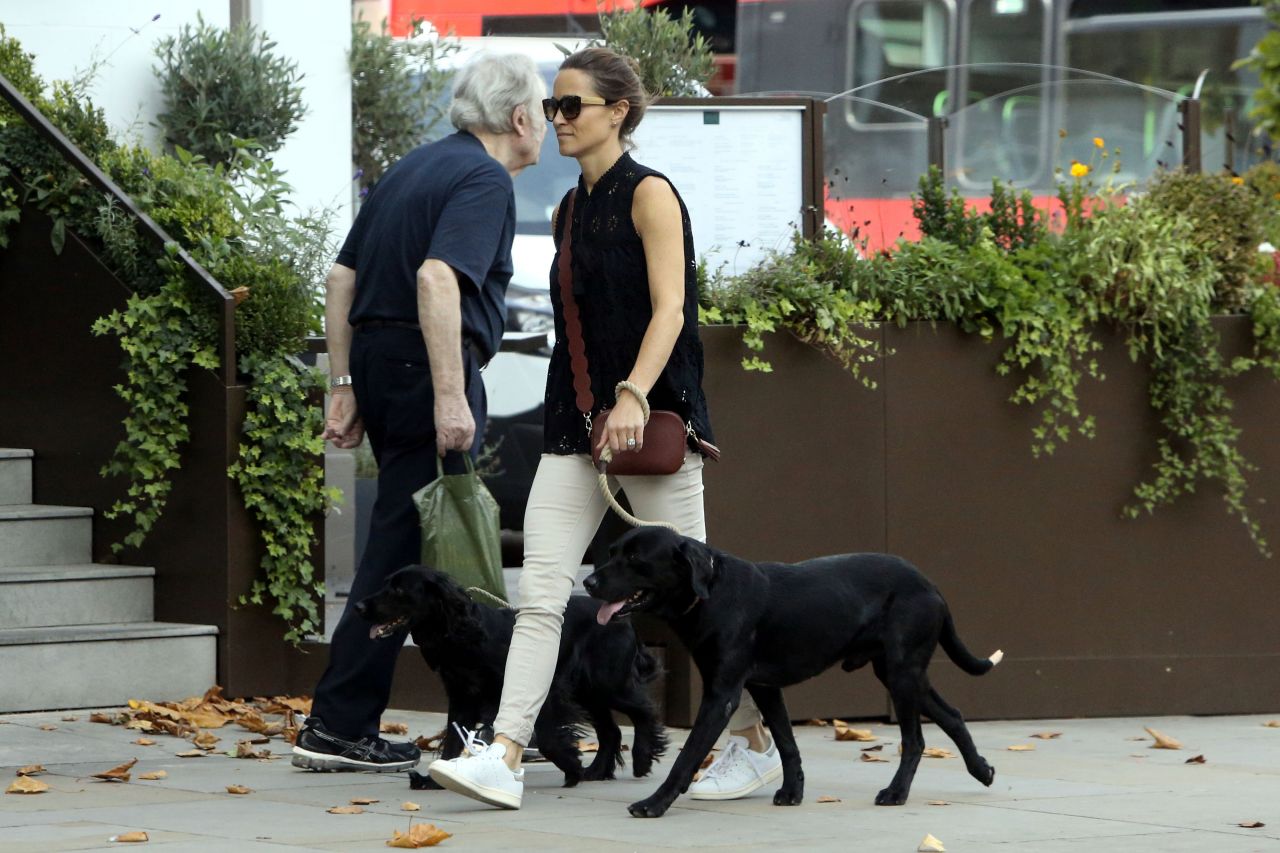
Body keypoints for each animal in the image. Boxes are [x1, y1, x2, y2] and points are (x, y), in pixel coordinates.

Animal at [355, 563, 665, 783]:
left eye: (399, 590)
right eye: (386, 584)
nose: (358, 606)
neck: (465, 636)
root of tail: (622, 618)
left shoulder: (544, 691)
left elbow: (548, 737)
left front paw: (572, 766)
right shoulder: (462, 698)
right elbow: (454, 738)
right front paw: (438, 777)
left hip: (608, 682)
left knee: (645, 710)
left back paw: (641, 759)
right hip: (589, 692)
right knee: (611, 730)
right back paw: (597, 772)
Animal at [586, 525, 1003, 819]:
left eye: (635, 557)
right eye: (611, 552)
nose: (588, 581)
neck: (711, 592)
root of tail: (928, 582)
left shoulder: (722, 695)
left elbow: (687, 756)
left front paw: (654, 803)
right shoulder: (764, 686)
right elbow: (787, 743)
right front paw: (792, 792)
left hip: (902, 674)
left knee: (915, 740)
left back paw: (896, 793)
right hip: (901, 672)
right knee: (952, 714)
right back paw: (981, 770)